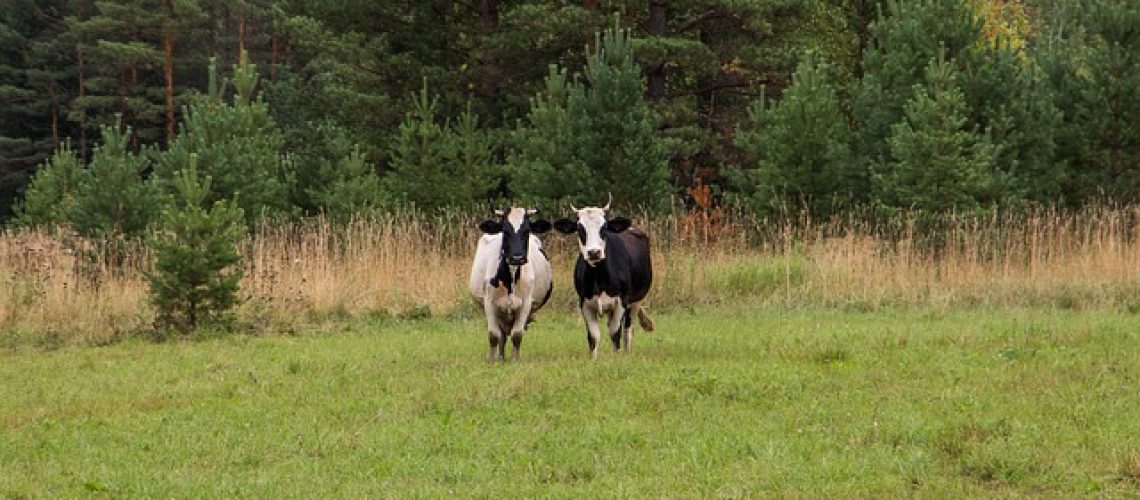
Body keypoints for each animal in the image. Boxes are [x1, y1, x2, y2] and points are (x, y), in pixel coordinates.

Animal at [469, 206, 554, 362]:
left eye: (527, 231)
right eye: (505, 231)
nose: (517, 257)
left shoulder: (526, 304)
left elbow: (517, 335)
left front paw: (515, 360)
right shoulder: (489, 303)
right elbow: (493, 335)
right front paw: (492, 360)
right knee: (501, 335)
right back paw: (500, 357)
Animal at [552, 195, 655, 359]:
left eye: (604, 228)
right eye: (580, 229)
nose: (594, 252)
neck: (598, 278)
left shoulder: (621, 302)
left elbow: (615, 333)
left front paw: (616, 358)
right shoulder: (585, 303)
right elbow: (593, 336)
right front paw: (594, 359)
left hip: (636, 301)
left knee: (628, 330)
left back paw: (627, 352)